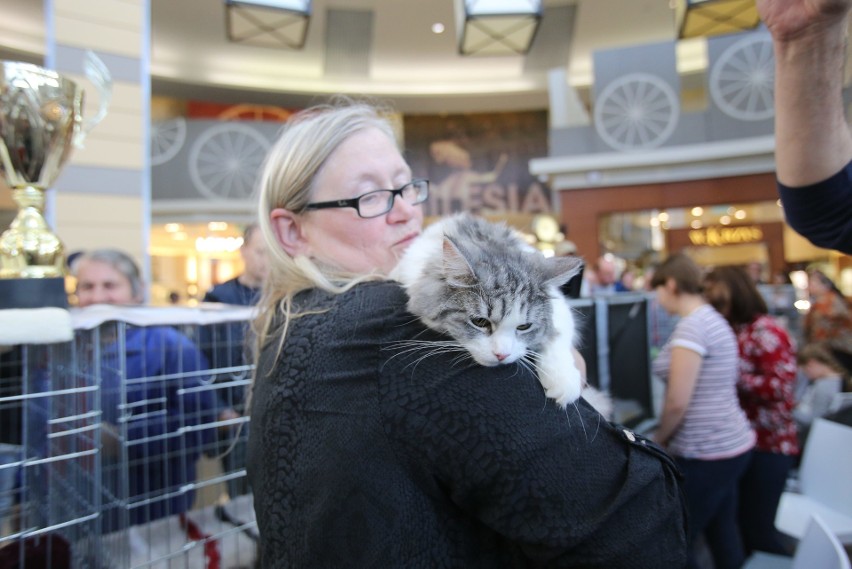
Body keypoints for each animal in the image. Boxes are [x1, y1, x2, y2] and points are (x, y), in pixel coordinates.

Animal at [392, 213, 604, 412]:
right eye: (480, 321)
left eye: (524, 326)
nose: (502, 355)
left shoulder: (562, 309)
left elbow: (558, 336)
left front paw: (563, 379)